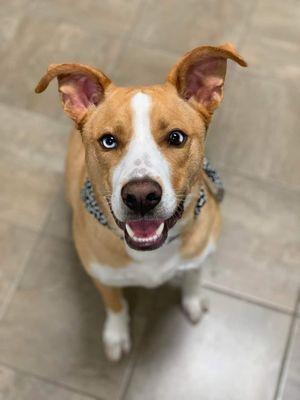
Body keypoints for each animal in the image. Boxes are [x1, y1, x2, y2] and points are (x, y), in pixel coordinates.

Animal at [35, 42, 246, 360]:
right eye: (108, 141)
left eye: (176, 137)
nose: (141, 196)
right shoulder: (102, 276)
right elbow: (115, 304)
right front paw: (116, 334)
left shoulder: (199, 253)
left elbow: (194, 277)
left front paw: (193, 300)